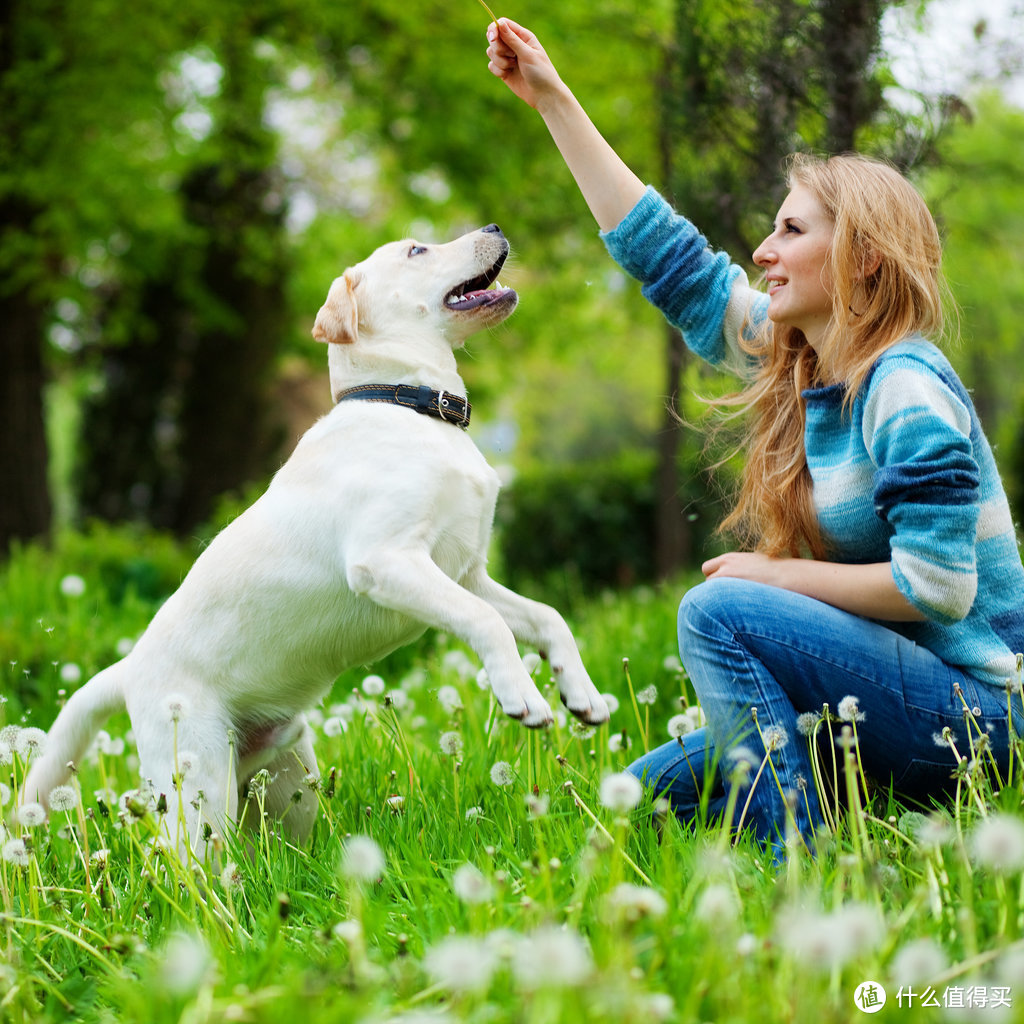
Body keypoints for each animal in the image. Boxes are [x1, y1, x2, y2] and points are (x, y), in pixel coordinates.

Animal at [22, 224, 606, 856]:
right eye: (416, 250)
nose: (495, 228)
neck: (411, 407)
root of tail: (130, 669)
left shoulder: (465, 573)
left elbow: (547, 616)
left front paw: (581, 693)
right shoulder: (389, 562)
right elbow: (487, 622)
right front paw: (522, 695)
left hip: (288, 784)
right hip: (198, 792)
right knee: (186, 867)